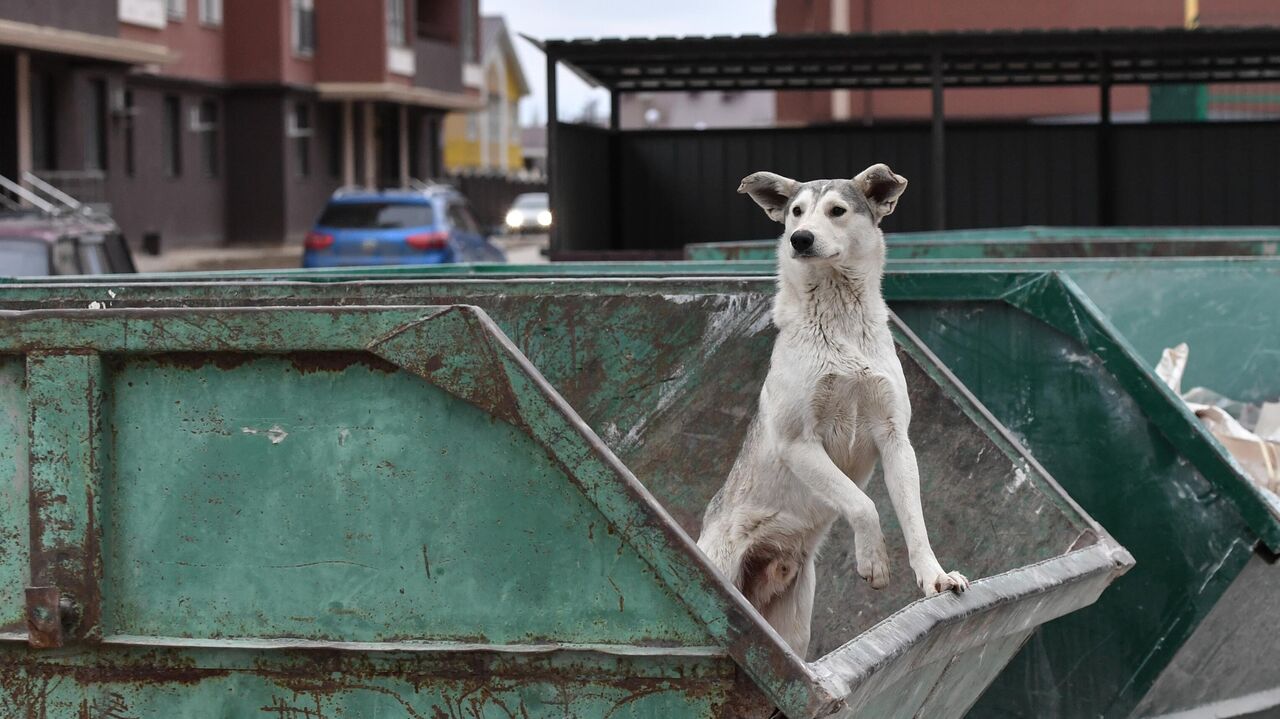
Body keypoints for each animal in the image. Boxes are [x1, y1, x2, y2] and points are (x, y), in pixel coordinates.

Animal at [701, 162, 967, 655]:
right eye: (796, 212)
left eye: (837, 211)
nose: (799, 239)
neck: (840, 321)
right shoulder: (798, 444)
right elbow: (863, 504)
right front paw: (874, 561)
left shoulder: (895, 438)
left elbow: (914, 519)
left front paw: (935, 578)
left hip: (794, 620)